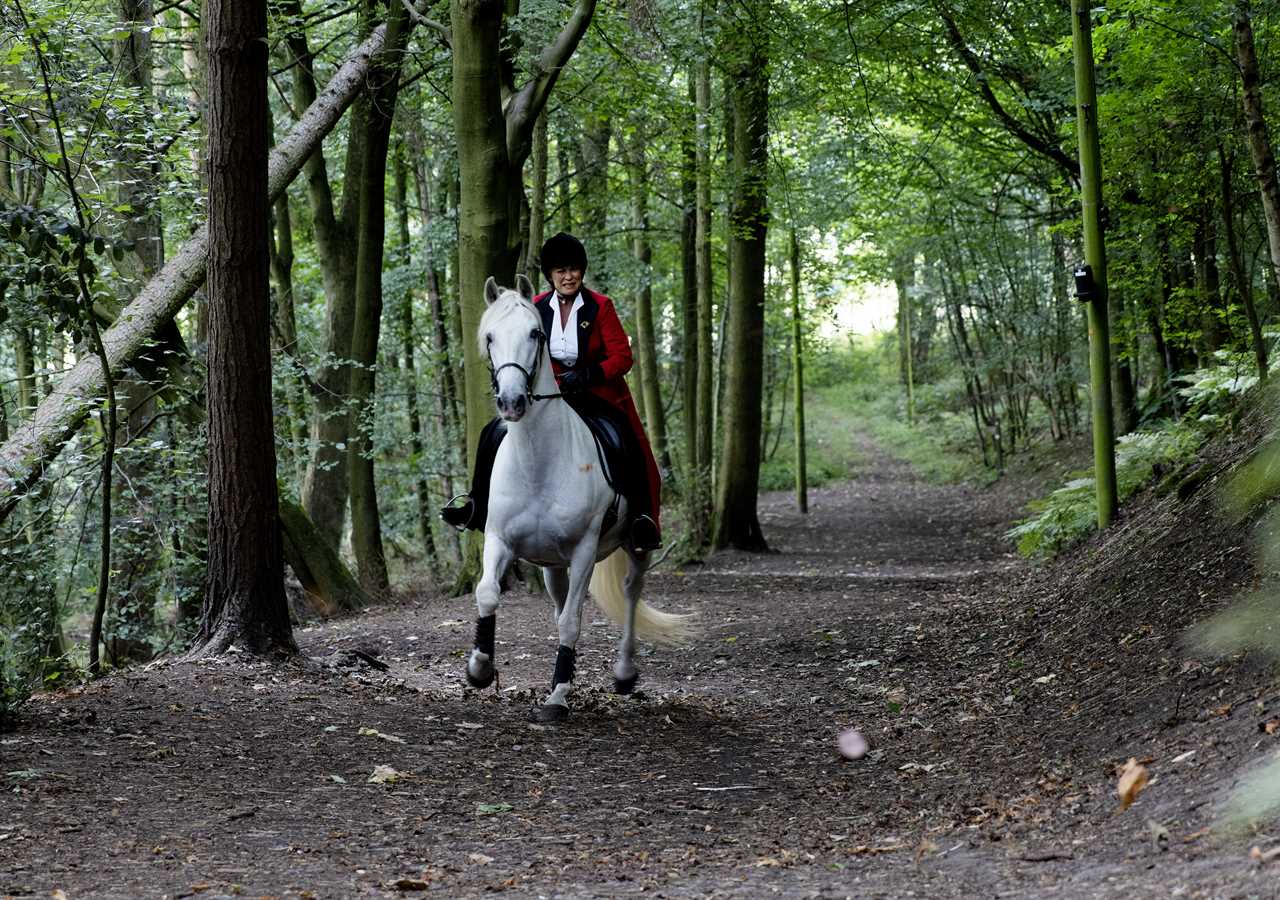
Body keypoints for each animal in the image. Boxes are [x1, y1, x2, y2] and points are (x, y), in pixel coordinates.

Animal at [465, 273, 696, 727]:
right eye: (489, 337)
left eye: (535, 333)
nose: (512, 403)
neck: (538, 459)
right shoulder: (499, 538)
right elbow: (487, 593)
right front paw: (480, 669)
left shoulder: (585, 549)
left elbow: (572, 620)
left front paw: (557, 697)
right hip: (551, 563)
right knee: (559, 600)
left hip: (635, 542)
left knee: (631, 589)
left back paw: (623, 673)